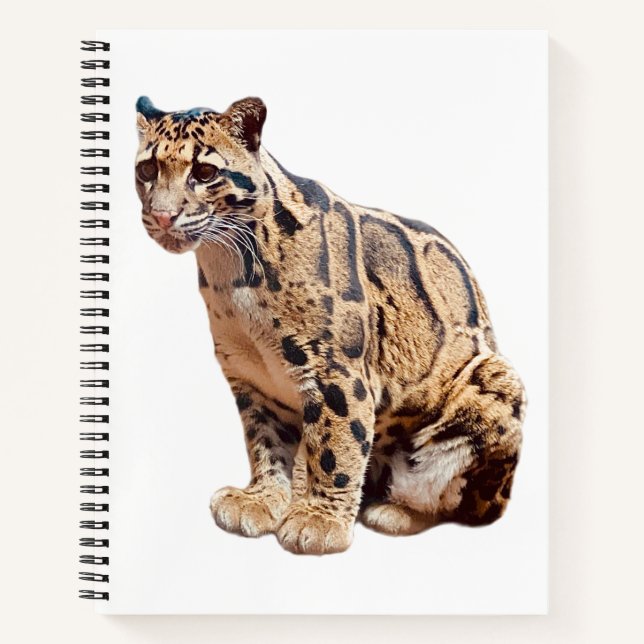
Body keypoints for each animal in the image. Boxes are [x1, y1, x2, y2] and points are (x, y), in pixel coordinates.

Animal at [134, 95, 526, 555]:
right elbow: (265, 442)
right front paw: (264, 499)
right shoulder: (251, 378)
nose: (162, 216)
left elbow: (336, 446)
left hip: (496, 380)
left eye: (205, 173)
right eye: (147, 170)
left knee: (467, 504)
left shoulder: (335, 371)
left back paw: (395, 511)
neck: (229, 271)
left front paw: (319, 521)